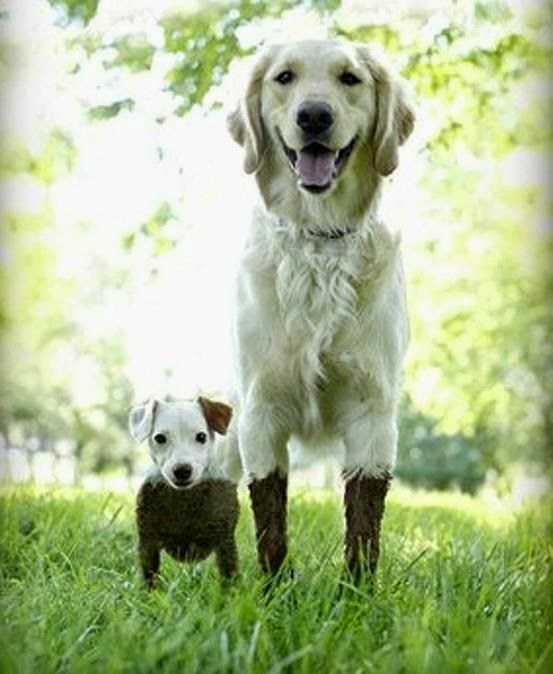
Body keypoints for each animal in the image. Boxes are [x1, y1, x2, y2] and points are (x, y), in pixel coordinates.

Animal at [128, 396, 238, 584]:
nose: (182, 470)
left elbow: (229, 571)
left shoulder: (225, 540)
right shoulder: (148, 542)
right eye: (160, 438)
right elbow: (149, 574)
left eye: (201, 436)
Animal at [225, 39, 414, 580]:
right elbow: (269, 515)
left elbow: (364, 520)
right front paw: (272, 590)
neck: (319, 240)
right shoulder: (261, 409)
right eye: (284, 78)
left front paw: (358, 592)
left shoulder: (373, 410)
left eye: (350, 78)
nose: (313, 115)